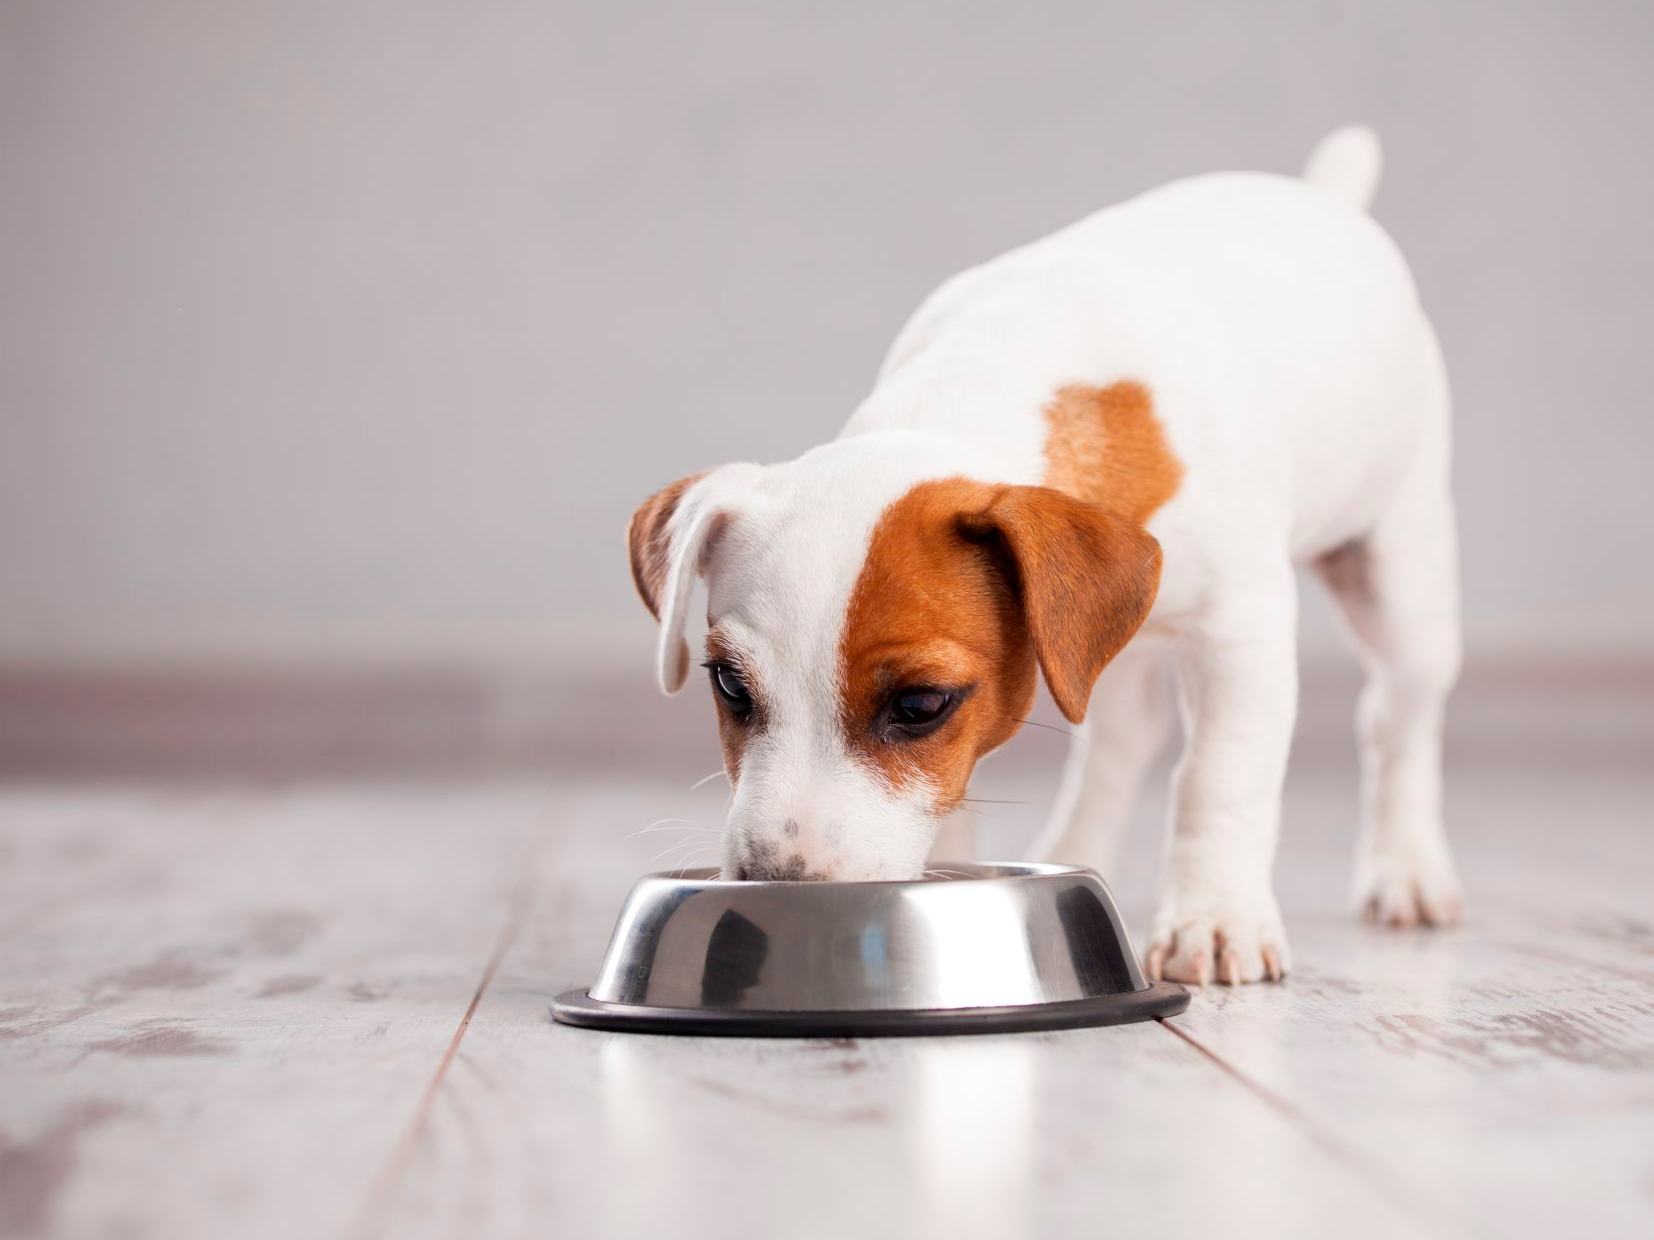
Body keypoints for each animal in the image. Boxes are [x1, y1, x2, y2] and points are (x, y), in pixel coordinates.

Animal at [628, 128, 1462, 992]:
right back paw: (1076, 853)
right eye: (729, 685)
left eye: (921, 704)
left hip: (1401, 583)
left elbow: (1218, 778)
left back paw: (1407, 870)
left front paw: (1214, 917)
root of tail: (1324, 196)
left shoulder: (1240, 632)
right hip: (1103, 640)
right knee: (1124, 737)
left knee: (1394, 715)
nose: (779, 886)